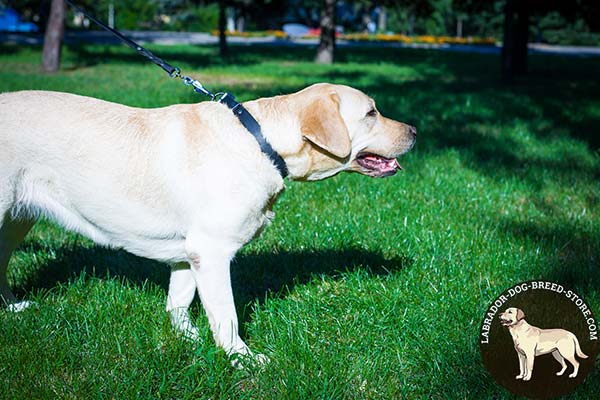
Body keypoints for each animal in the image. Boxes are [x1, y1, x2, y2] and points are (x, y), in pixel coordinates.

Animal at [0, 83, 414, 362]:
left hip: (18, 218)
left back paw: (13, 307)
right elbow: (226, 315)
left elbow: (179, 301)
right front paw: (242, 359)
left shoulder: (190, 251)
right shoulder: (212, 252)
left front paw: (186, 337)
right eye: (371, 113)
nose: (414, 132)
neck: (261, 143)